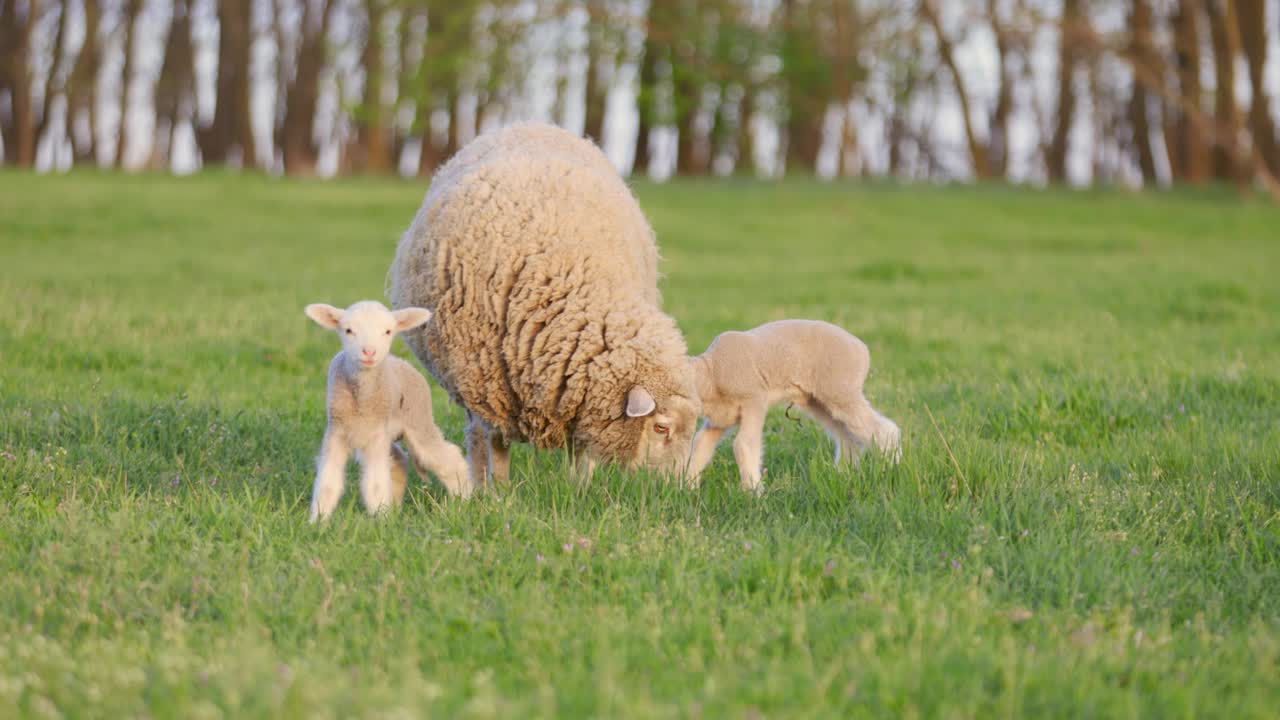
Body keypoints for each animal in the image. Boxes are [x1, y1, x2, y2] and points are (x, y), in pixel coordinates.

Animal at [304, 298, 471, 520]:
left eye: (388, 331)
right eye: (348, 330)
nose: (369, 352)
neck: (362, 402)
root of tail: (400, 361)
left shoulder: (376, 436)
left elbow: (374, 484)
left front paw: (378, 521)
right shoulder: (337, 433)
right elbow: (328, 482)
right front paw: (319, 520)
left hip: (419, 419)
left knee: (446, 457)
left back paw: (464, 499)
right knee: (399, 461)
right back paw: (395, 507)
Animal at [386, 122, 701, 484]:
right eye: (662, 428)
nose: (682, 487)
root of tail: (527, 124)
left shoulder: (578, 390)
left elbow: (582, 450)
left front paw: (580, 487)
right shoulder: (488, 388)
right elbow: (495, 443)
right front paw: (498, 491)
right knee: (477, 437)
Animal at [691, 317, 901, 489]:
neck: (711, 372)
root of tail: (863, 349)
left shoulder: (754, 401)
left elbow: (743, 444)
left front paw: (753, 494)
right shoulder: (719, 420)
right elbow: (700, 445)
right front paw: (687, 487)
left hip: (841, 391)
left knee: (885, 429)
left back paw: (891, 469)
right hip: (819, 401)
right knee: (849, 438)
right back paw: (841, 475)